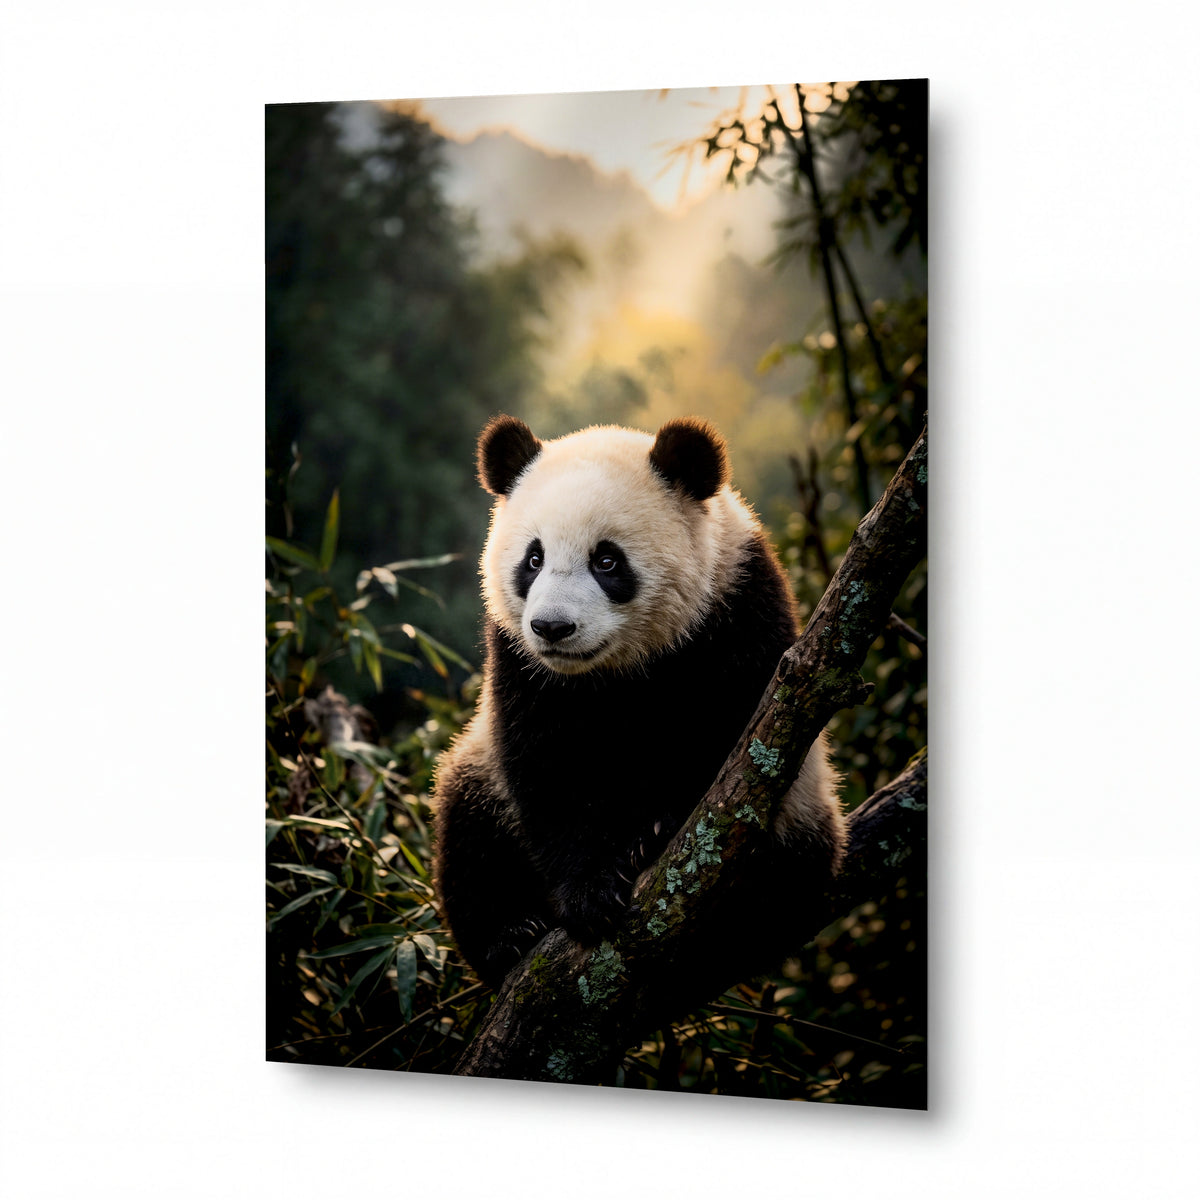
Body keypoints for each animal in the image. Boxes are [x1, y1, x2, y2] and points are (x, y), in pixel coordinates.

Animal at [433, 414, 847, 993]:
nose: (553, 628)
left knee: (787, 884)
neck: (615, 671)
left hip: (808, 811)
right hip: (479, 772)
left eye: (607, 560)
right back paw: (509, 936)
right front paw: (589, 893)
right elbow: (546, 768)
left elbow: (736, 743)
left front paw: (654, 834)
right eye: (533, 559)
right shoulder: (520, 663)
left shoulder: (737, 606)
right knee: (470, 835)